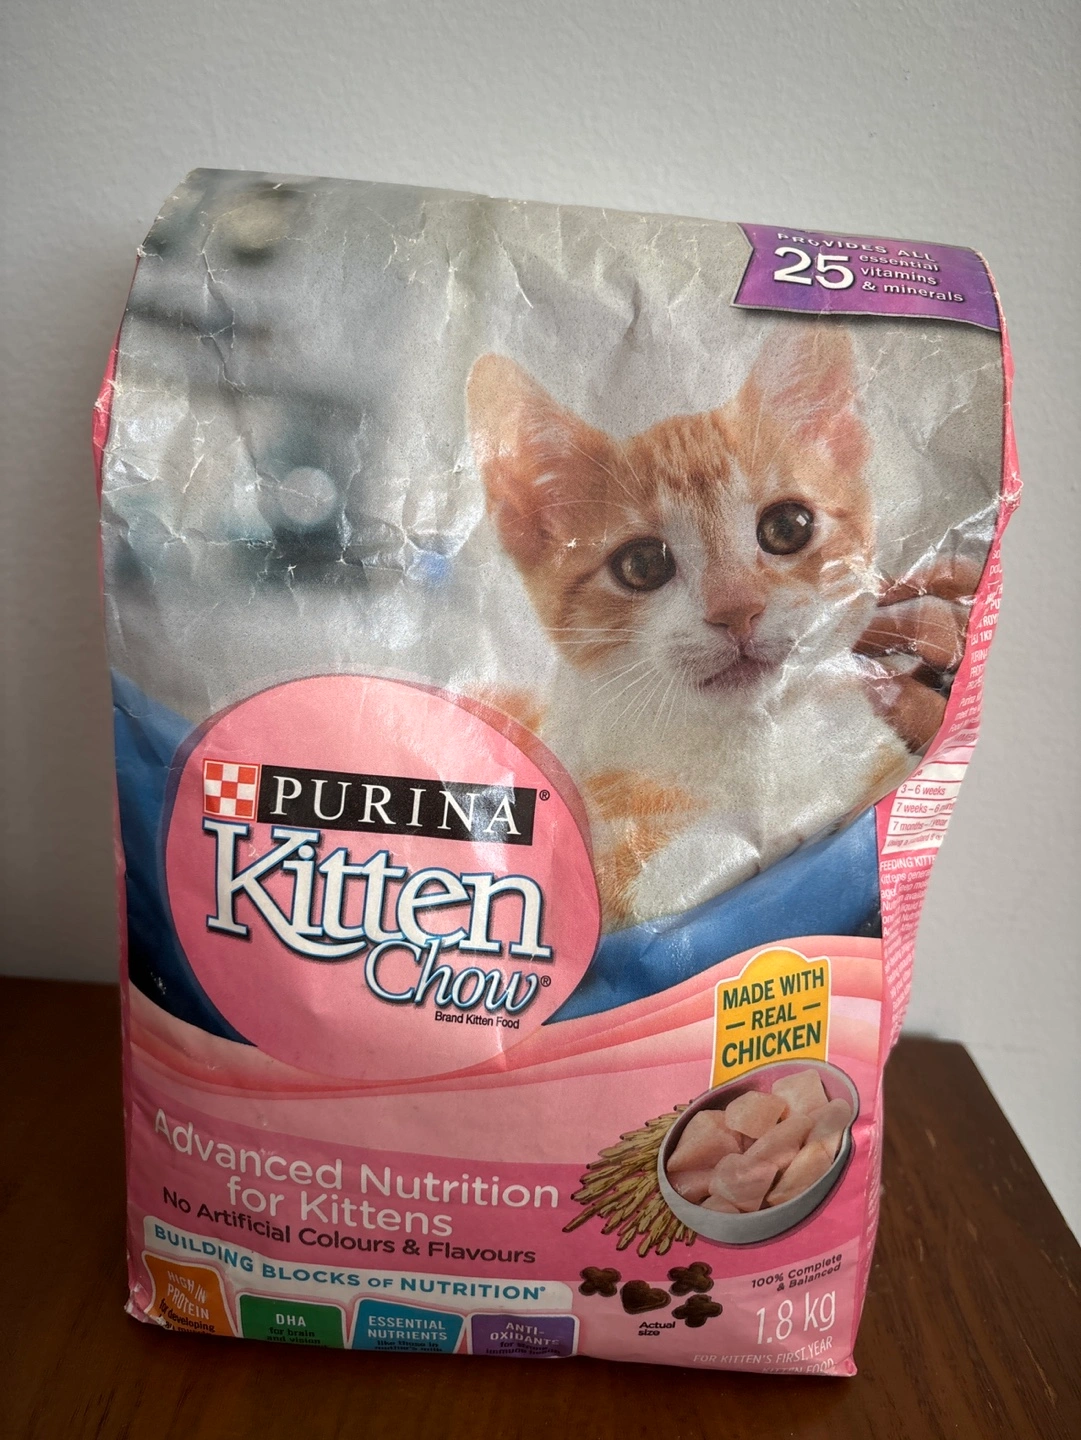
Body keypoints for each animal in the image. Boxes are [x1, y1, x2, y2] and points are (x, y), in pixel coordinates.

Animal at [467, 325, 914, 931]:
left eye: (787, 527)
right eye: (642, 564)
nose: (737, 609)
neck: (750, 745)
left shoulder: (878, 756)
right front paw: (748, 842)